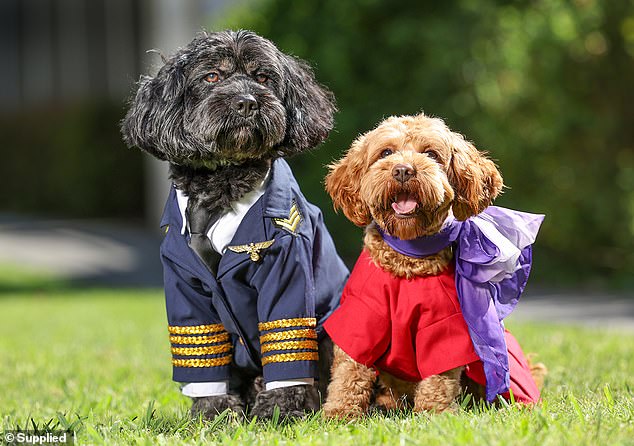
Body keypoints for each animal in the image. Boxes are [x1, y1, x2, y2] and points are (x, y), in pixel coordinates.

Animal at [121, 29, 348, 420]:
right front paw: (214, 412)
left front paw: (280, 411)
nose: (246, 103)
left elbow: (286, 340)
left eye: (263, 77)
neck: (221, 188)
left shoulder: (286, 269)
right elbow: (203, 353)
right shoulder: (184, 287)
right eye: (212, 76)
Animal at [320, 112, 544, 418]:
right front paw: (340, 414)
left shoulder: (444, 324)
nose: (403, 171)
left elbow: (440, 374)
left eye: (431, 154)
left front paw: (435, 415)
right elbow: (350, 369)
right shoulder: (362, 313)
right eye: (386, 152)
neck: (408, 260)